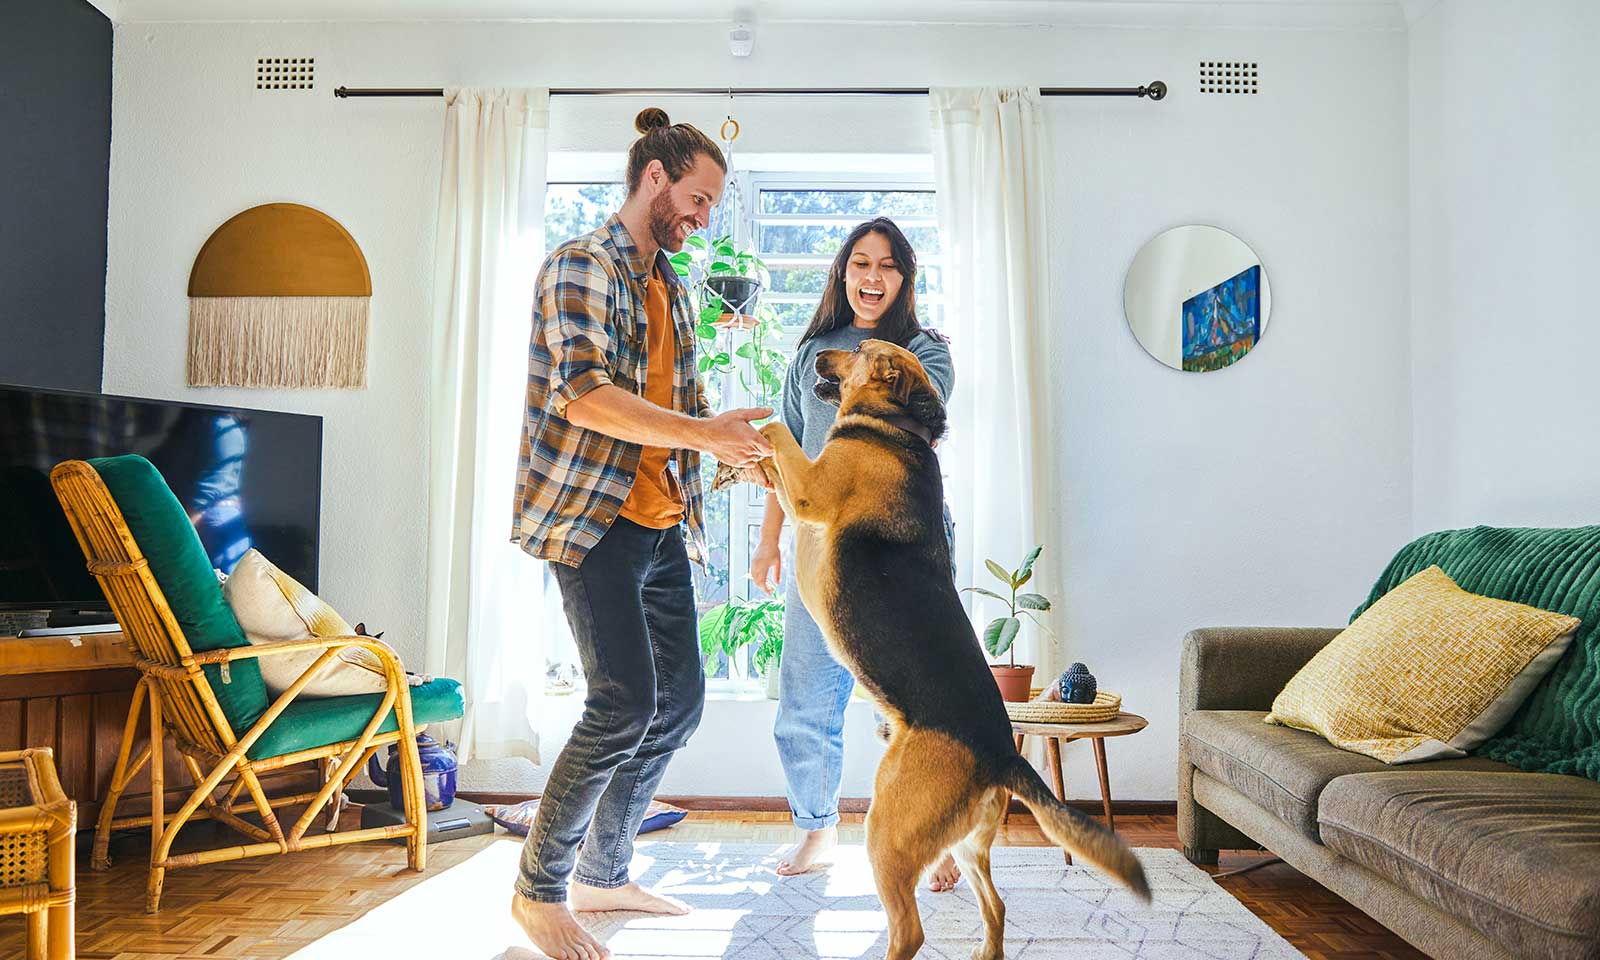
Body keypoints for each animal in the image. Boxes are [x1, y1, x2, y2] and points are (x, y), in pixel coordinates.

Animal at [716, 340, 1152, 960]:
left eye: (857, 348)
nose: (814, 353)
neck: (898, 426)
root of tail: (1003, 753)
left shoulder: (810, 491)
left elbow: (777, 429)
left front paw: (750, 431)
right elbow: (767, 459)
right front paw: (733, 463)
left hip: (887, 831)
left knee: (911, 929)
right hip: (967, 843)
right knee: (997, 906)